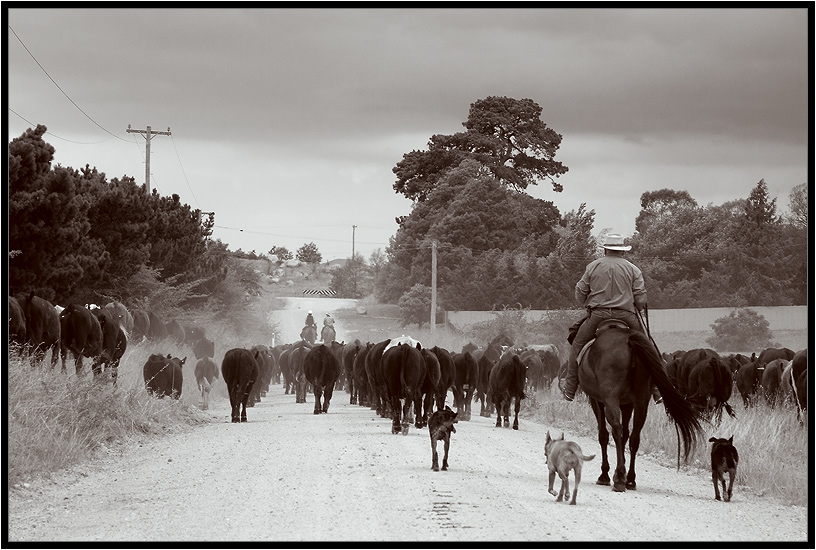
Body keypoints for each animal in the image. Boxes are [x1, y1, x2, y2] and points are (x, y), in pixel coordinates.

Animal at [576, 322, 704, 494]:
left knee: (616, 429)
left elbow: (604, 435)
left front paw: (605, 475)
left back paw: (620, 479)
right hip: (642, 401)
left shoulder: (596, 401)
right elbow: (626, 434)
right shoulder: (628, 404)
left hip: (610, 398)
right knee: (634, 437)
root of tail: (629, 339)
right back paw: (630, 479)